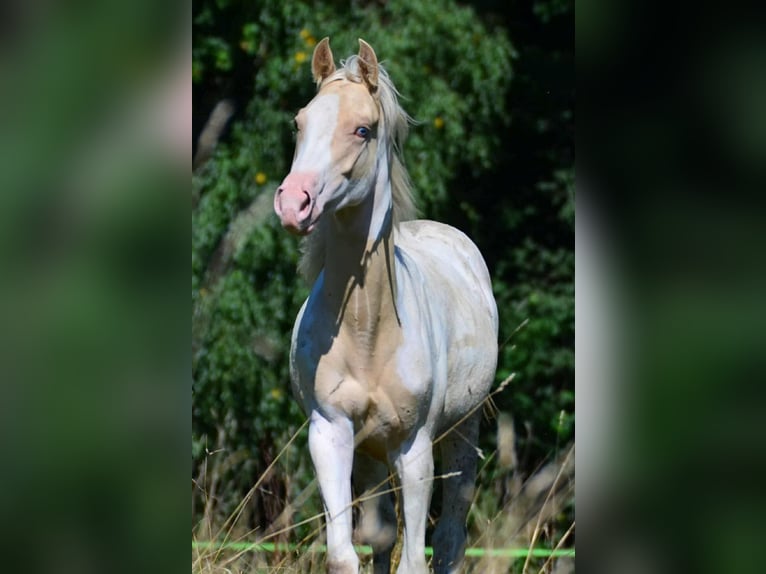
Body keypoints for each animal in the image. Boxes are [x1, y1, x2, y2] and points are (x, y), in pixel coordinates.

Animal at [273, 38, 498, 574]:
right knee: (381, 535)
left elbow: (414, 559)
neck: (368, 328)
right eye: (299, 122)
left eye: (363, 129)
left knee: (450, 540)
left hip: (461, 432)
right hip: (371, 453)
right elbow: (347, 552)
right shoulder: (331, 434)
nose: (293, 203)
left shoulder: (413, 448)